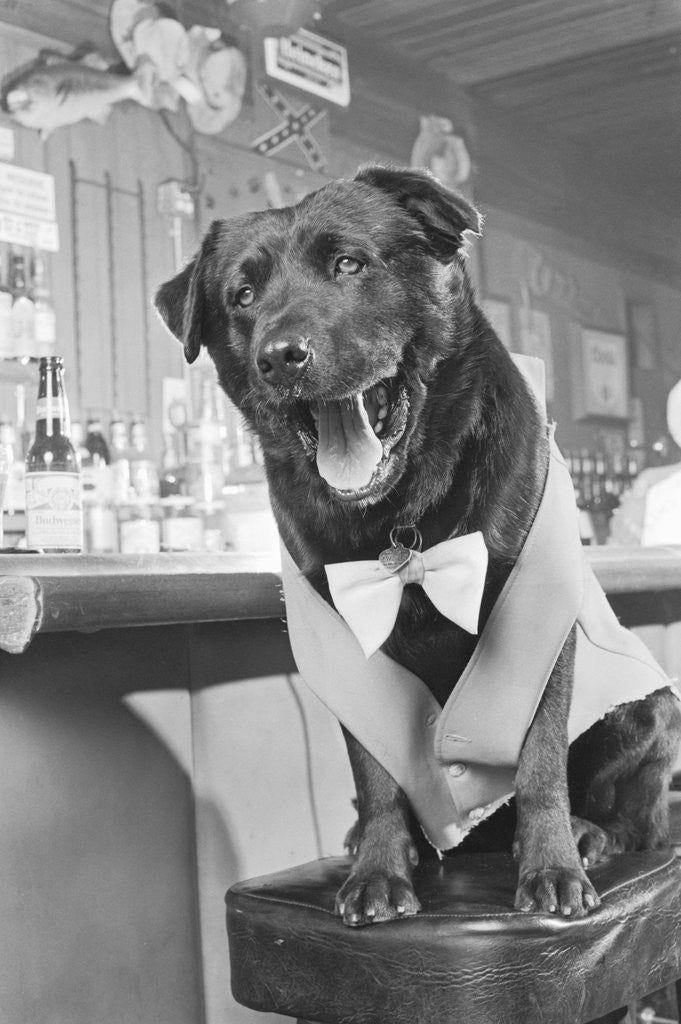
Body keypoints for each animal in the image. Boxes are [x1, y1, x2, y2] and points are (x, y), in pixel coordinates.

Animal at [156, 165, 679, 929]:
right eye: (242, 297)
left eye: (349, 264)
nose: (281, 357)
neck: (402, 527)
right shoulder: (344, 644)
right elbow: (374, 775)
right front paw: (378, 869)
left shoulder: (537, 620)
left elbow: (540, 760)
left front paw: (552, 865)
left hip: (647, 710)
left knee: (639, 821)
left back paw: (590, 835)